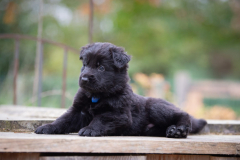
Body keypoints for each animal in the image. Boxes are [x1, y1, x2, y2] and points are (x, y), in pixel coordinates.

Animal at [35, 42, 206, 138]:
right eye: (85, 64)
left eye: (101, 67)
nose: (84, 78)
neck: (97, 96)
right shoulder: (79, 111)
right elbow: (63, 120)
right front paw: (47, 127)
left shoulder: (119, 114)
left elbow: (101, 118)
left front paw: (90, 129)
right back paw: (171, 131)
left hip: (156, 107)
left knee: (183, 114)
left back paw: (179, 130)